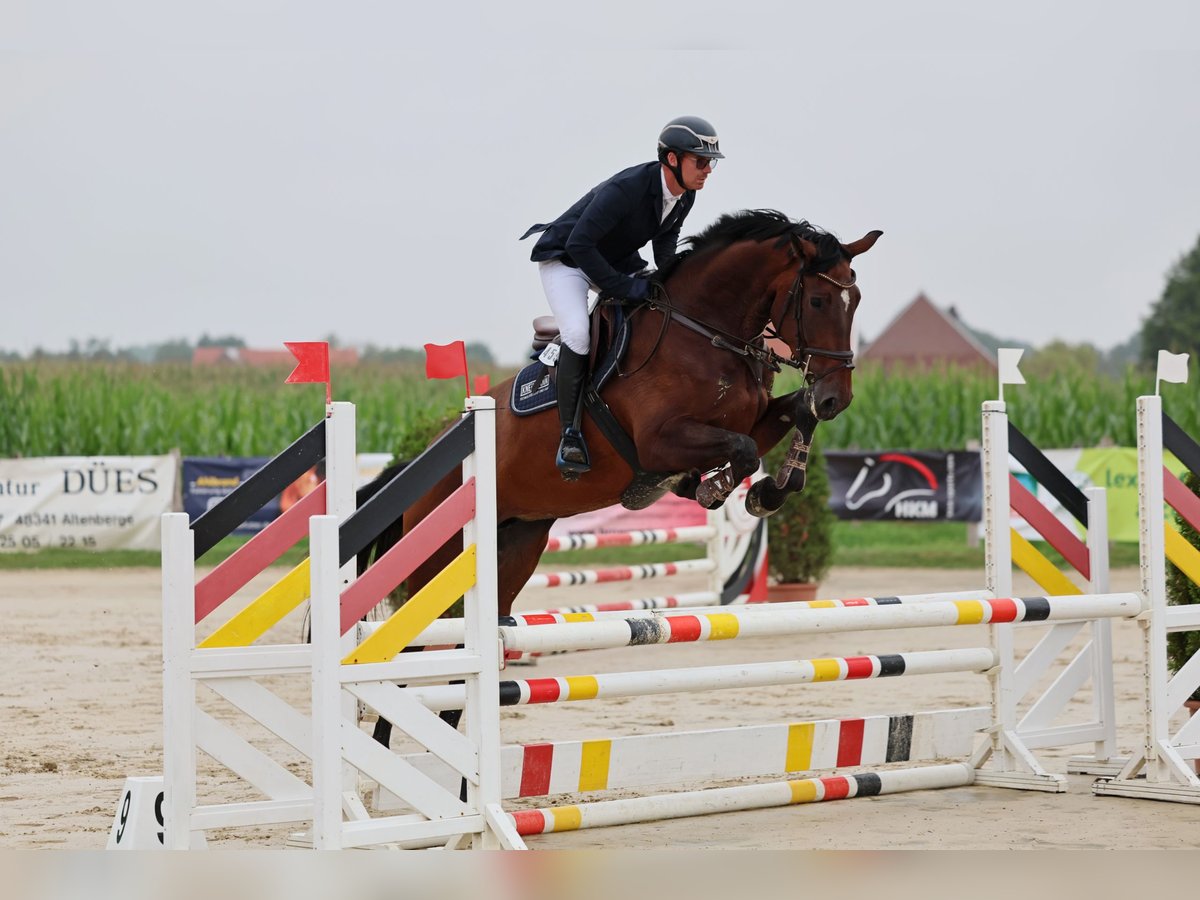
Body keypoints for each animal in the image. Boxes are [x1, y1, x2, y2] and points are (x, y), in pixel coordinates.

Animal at [360, 211, 878, 619]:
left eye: (855, 302)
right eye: (816, 301)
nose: (838, 397)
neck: (704, 333)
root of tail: (416, 461)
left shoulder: (750, 420)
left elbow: (791, 419)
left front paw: (767, 493)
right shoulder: (659, 441)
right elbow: (744, 451)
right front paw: (709, 489)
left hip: (518, 542)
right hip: (435, 561)